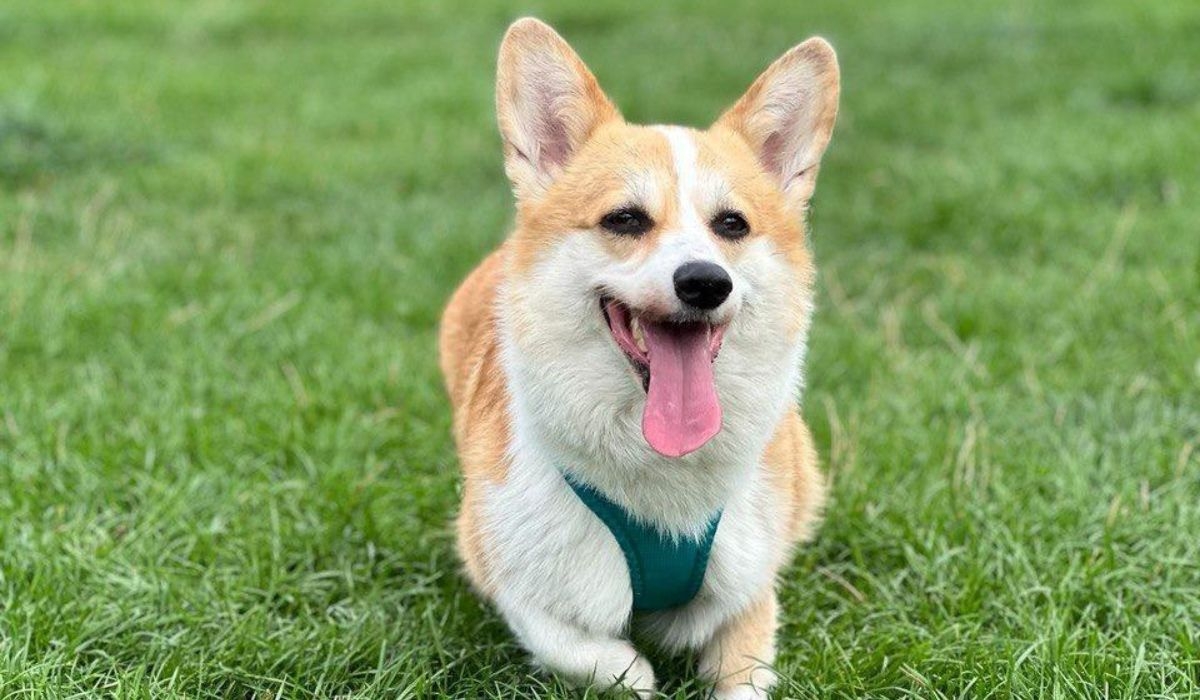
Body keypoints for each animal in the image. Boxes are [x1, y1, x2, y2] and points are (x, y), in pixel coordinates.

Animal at [436, 16, 840, 700]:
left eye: (732, 225)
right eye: (624, 219)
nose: (705, 282)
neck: (657, 468)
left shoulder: (750, 589)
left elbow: (741, 666)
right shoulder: (510, 578)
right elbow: (601, 659)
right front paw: (635, 666)